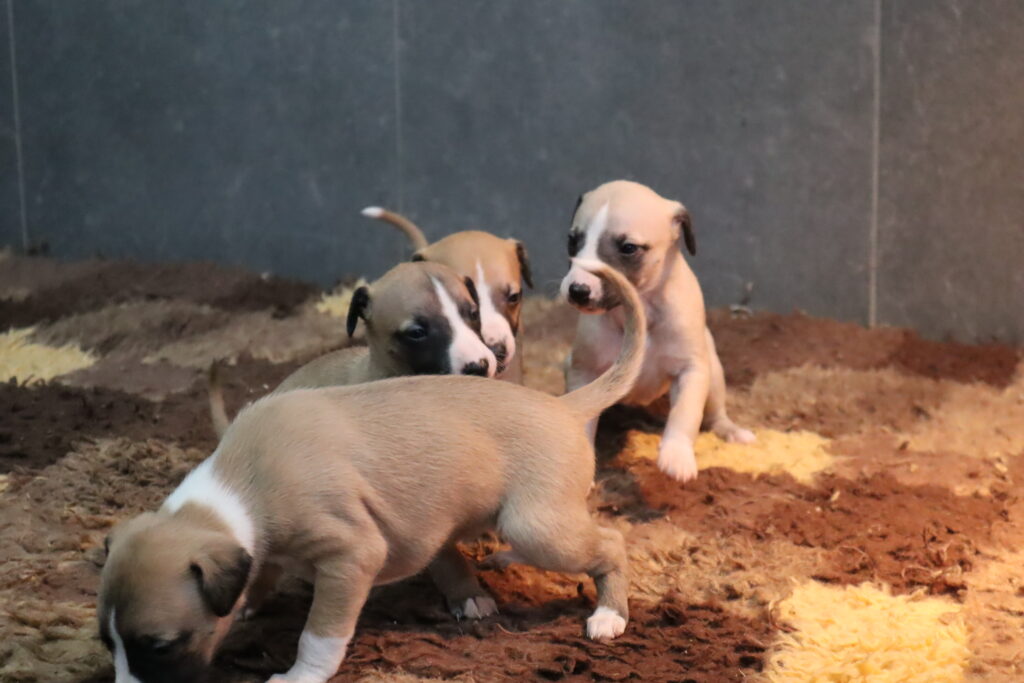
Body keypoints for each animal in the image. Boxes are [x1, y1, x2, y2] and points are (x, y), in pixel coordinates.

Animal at [561, 180, 754, 483]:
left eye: (629, 248)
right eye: (573, 241)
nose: (578, 290)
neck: (642, 313)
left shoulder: (691, 371)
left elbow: (685, 414)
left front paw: (676, 456)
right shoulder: (584, 371)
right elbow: (585, 422)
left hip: (713, 376)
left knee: (714, 415)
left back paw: (732, 431)